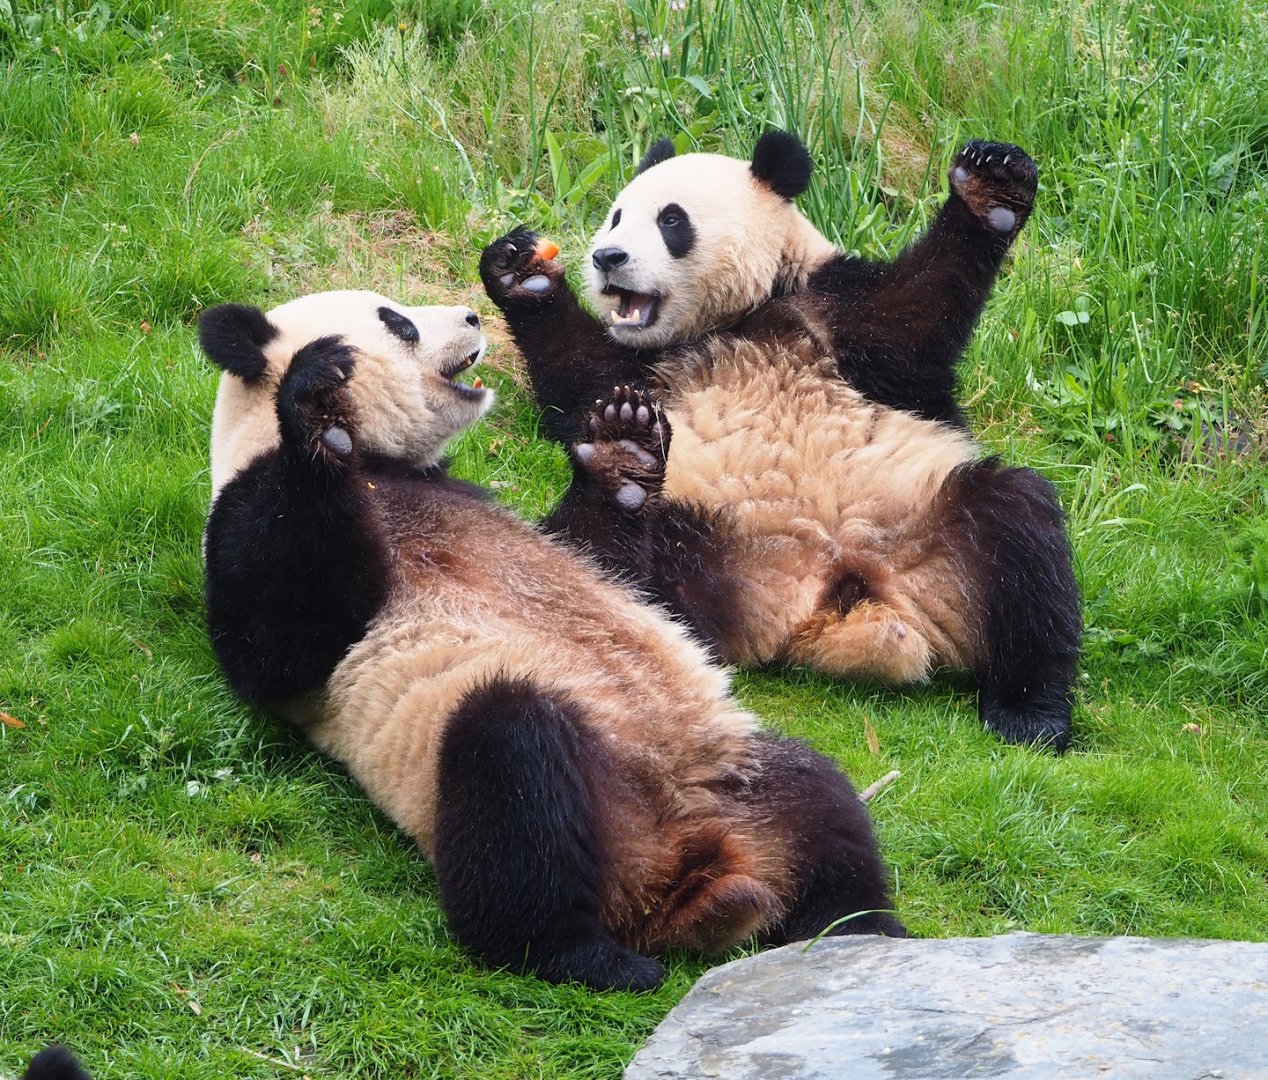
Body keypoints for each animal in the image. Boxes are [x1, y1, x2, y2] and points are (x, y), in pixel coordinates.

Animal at [199, 288, 904, 991]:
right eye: (396, 322)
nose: (472, 317)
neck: (384, 468)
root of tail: (681, 869)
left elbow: (606, 562)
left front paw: (624, 447)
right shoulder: (243, 515)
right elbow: (280, 644)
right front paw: (320, 403)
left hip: (732, 773)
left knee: (821, 804)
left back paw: (861, 929)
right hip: (519, 768)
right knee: (516, 779)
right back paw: (589, 957)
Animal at [480, 131, 1081, 752]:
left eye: (671, 221)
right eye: (617, 216)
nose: (607, 258)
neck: (735, 318)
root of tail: (828, 602)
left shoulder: (835, 308)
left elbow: (915, 312)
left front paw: (992, 186)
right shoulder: (647, 369)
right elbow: (580, 381)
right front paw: (521, 273)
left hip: (922, 523)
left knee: (1017, 531)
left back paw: (1029, 711)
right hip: (710, 534)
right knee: (597, 575)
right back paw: (619, 466)